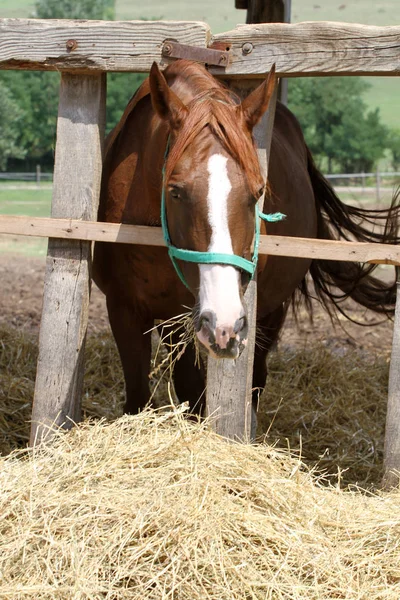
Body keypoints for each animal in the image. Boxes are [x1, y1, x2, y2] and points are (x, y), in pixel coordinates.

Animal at [91, 62, 400, 418]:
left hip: (271, 310)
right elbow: (142, 398)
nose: (225, 323)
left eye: (258, 191)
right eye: (176, 191)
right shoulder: (124, 307)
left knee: (257, 378)